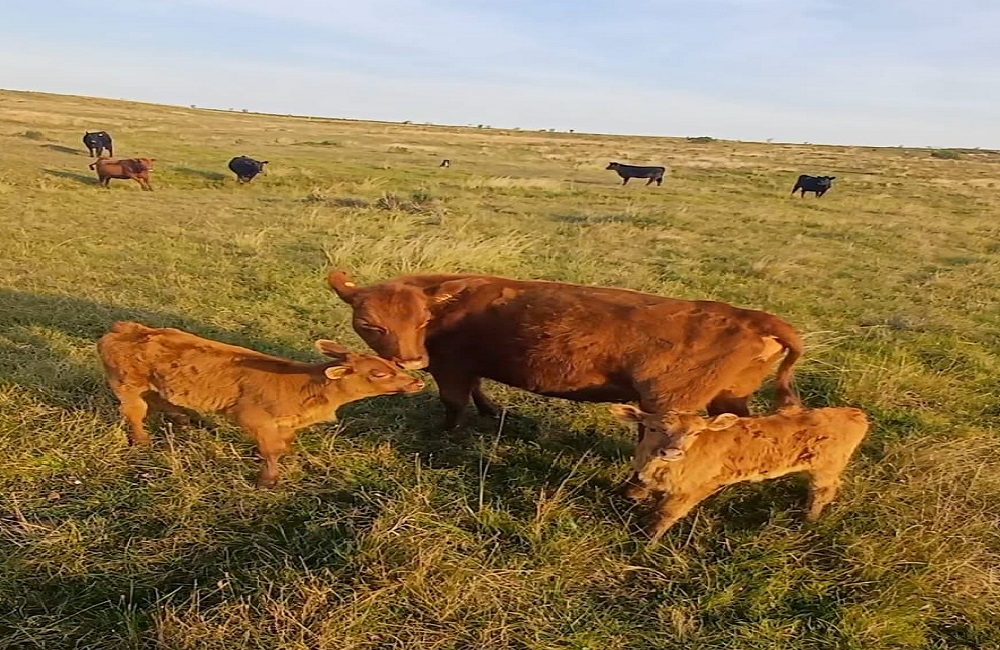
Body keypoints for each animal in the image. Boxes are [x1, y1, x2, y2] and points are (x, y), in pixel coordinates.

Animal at [100, 322, 426, 484]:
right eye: (379, 373)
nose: (418, 382)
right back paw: (143, 441)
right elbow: (271, 451)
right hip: (126, 384)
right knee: (135, 411)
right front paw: (267, 482)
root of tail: (124, 327)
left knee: (160, 400)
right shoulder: (255, 419)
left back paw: (188, 421)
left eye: (390, 364)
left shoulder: (286, 424)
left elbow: (283, 446)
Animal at [328, 268, 804, 430]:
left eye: (423, 321)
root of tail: (751, 316)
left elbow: (453, 404)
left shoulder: (450, 367)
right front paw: (491, 411)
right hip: (731, 396)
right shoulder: (468, 365)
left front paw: (442, 433)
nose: (411, 359)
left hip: (673, 402)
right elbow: (479, 391)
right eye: (369, 324)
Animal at [608, 402, 868, 540]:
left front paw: (648, 540)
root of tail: (853, 412)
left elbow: (666, 514)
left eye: (695, 433)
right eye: (653, 428)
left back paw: (808, 520)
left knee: (823, 491)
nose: (672, 451)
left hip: (826, 469)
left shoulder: (697, 488)